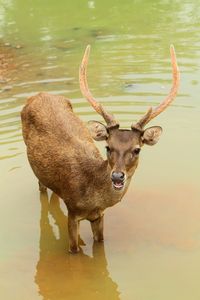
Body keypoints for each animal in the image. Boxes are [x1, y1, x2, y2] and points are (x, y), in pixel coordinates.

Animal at [21, 44, 180, 253]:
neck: (93, 199)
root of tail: (36, 95)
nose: (117, 176)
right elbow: (73, 250)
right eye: (108, 147)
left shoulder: (99, 215)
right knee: (42, 193)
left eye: (137, 149)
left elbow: (100, 245)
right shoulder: (73, 212)